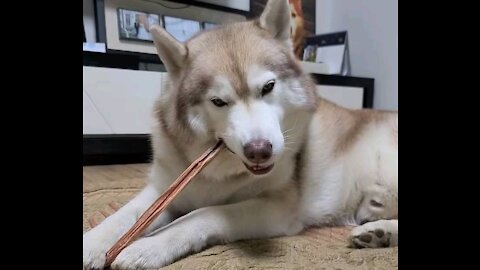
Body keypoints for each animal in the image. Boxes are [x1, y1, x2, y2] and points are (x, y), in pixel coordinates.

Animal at [82, 1, 398, 268]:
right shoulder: (165, 188)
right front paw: (93, 243)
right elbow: (124, 216)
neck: (216, 174)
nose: (260, 150)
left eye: (268, 87)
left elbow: (204, 213)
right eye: (218, 101)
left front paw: (149, 245)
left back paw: (379, 230)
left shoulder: (276, 208)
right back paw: (377, 230)